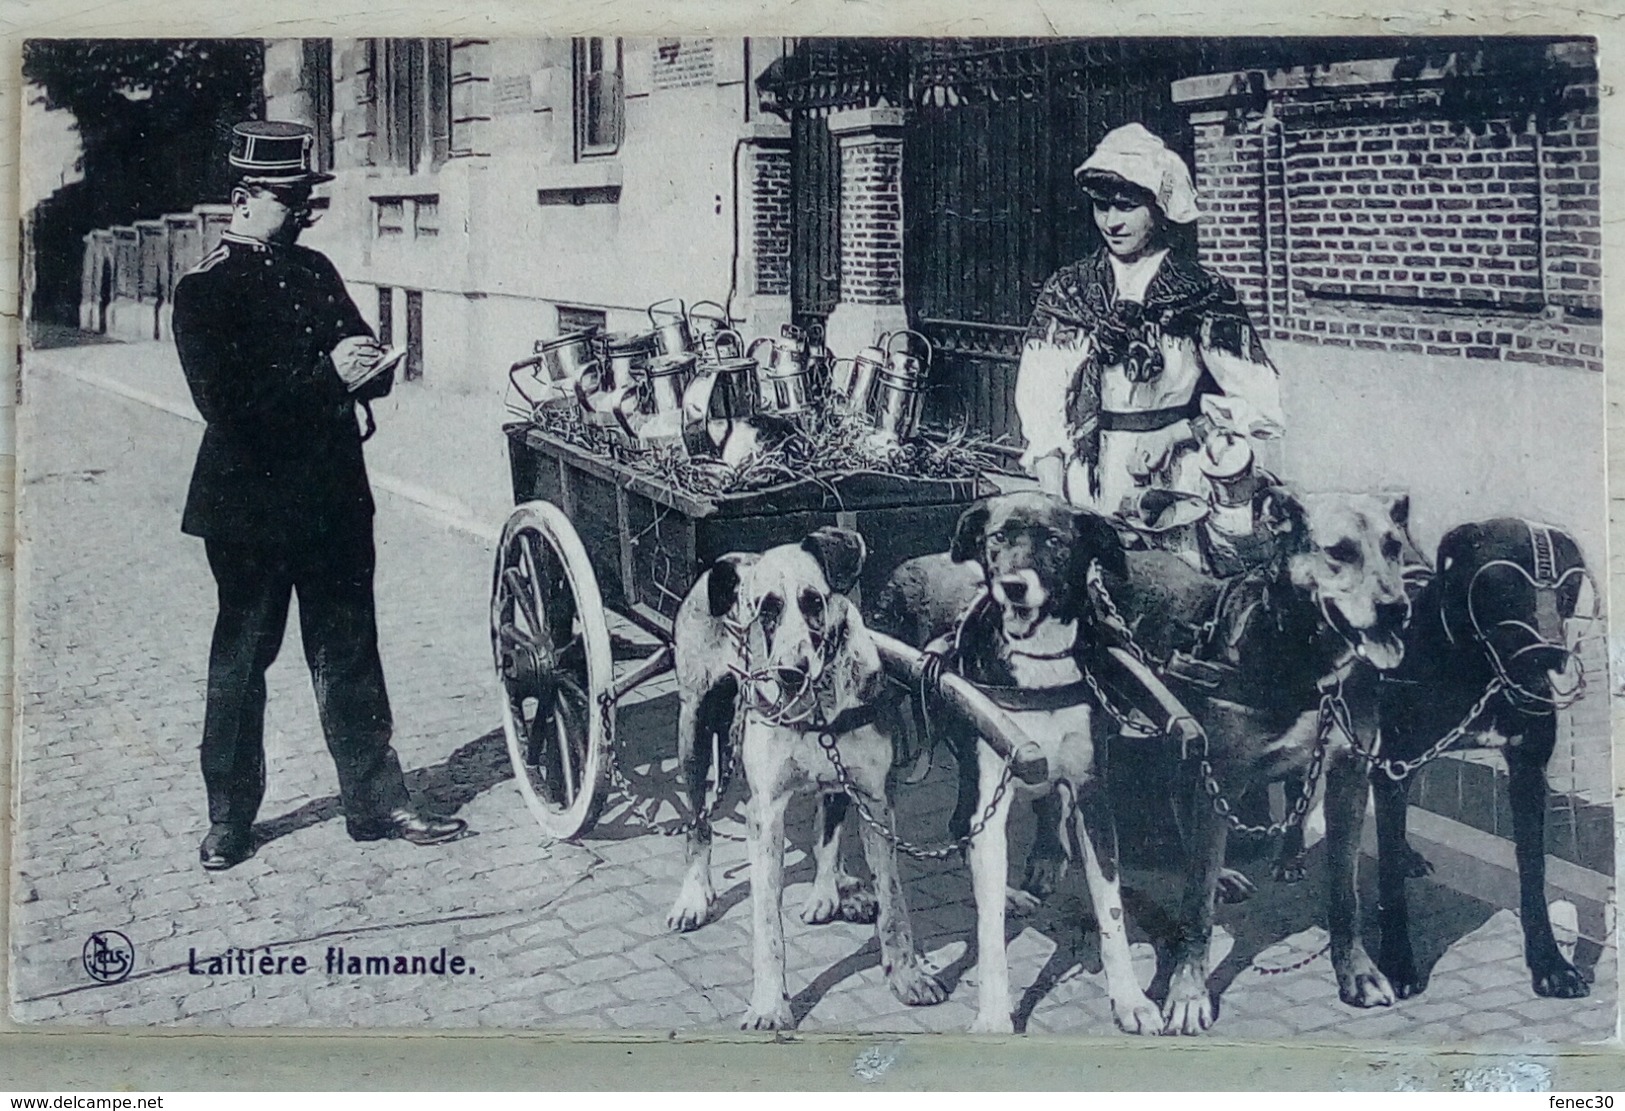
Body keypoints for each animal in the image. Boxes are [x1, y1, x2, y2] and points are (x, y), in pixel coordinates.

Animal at [666, 526, 949, 1026]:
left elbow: (894, 902)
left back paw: (830, 890)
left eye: (813, 601)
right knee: (698, 824)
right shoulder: (765, 814)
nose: (789, 673)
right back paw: (694, 897)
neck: (818, 704)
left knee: (828, 826)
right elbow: (767, 924)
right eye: (766, 610)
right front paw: (768, 1004)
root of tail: (729, 558)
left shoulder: (876, 799)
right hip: (694, 730)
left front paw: (906, 977)